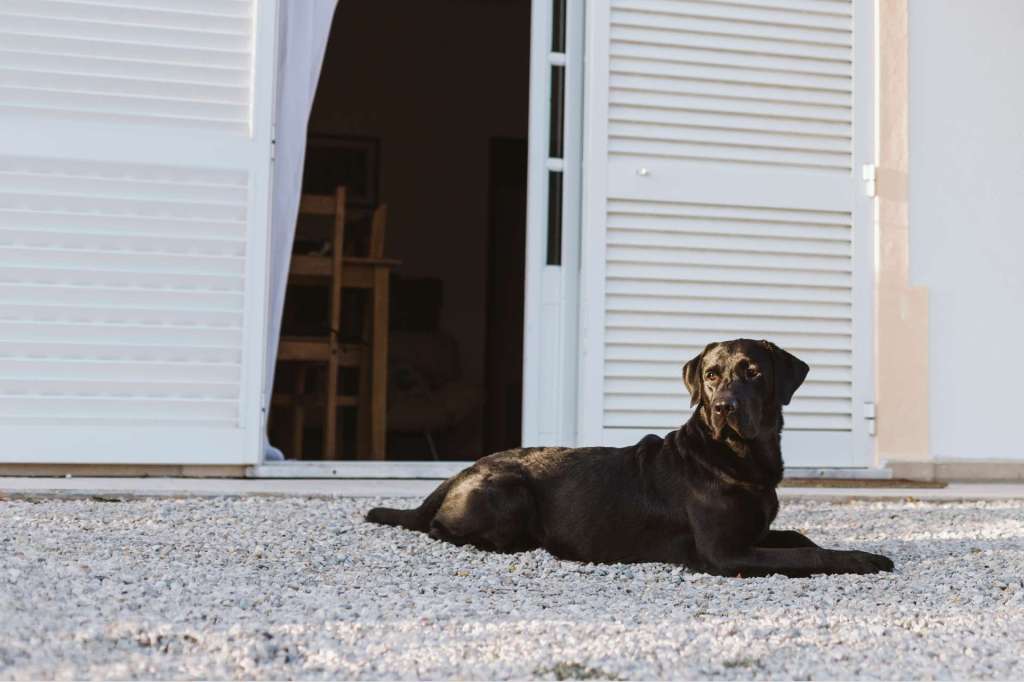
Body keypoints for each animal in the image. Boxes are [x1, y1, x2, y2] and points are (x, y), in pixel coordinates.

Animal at [366, 337, 888, 573]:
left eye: (754, 373)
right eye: (711, 376)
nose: (724, 406)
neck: (734, 457)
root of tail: (459, 473)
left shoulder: (753, 533)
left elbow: (799, 537)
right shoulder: (725, 553)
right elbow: (808, 554)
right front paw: (864, 557)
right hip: (511, 491)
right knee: (442, 530)